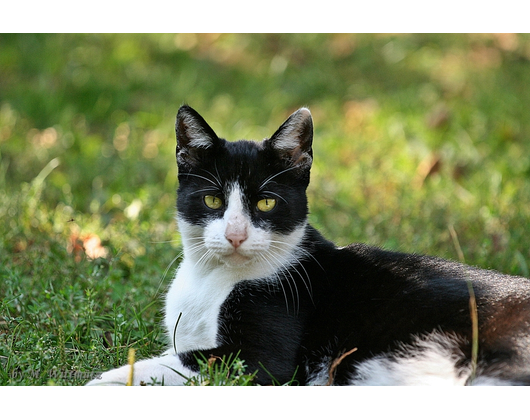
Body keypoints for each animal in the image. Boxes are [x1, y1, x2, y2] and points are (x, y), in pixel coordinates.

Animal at [87, 106, 528, 388]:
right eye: (212, 200)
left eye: (266, 203)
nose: (235, 235)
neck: (213, 280)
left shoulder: (264, 349)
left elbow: (185, 361)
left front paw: (106, 377)